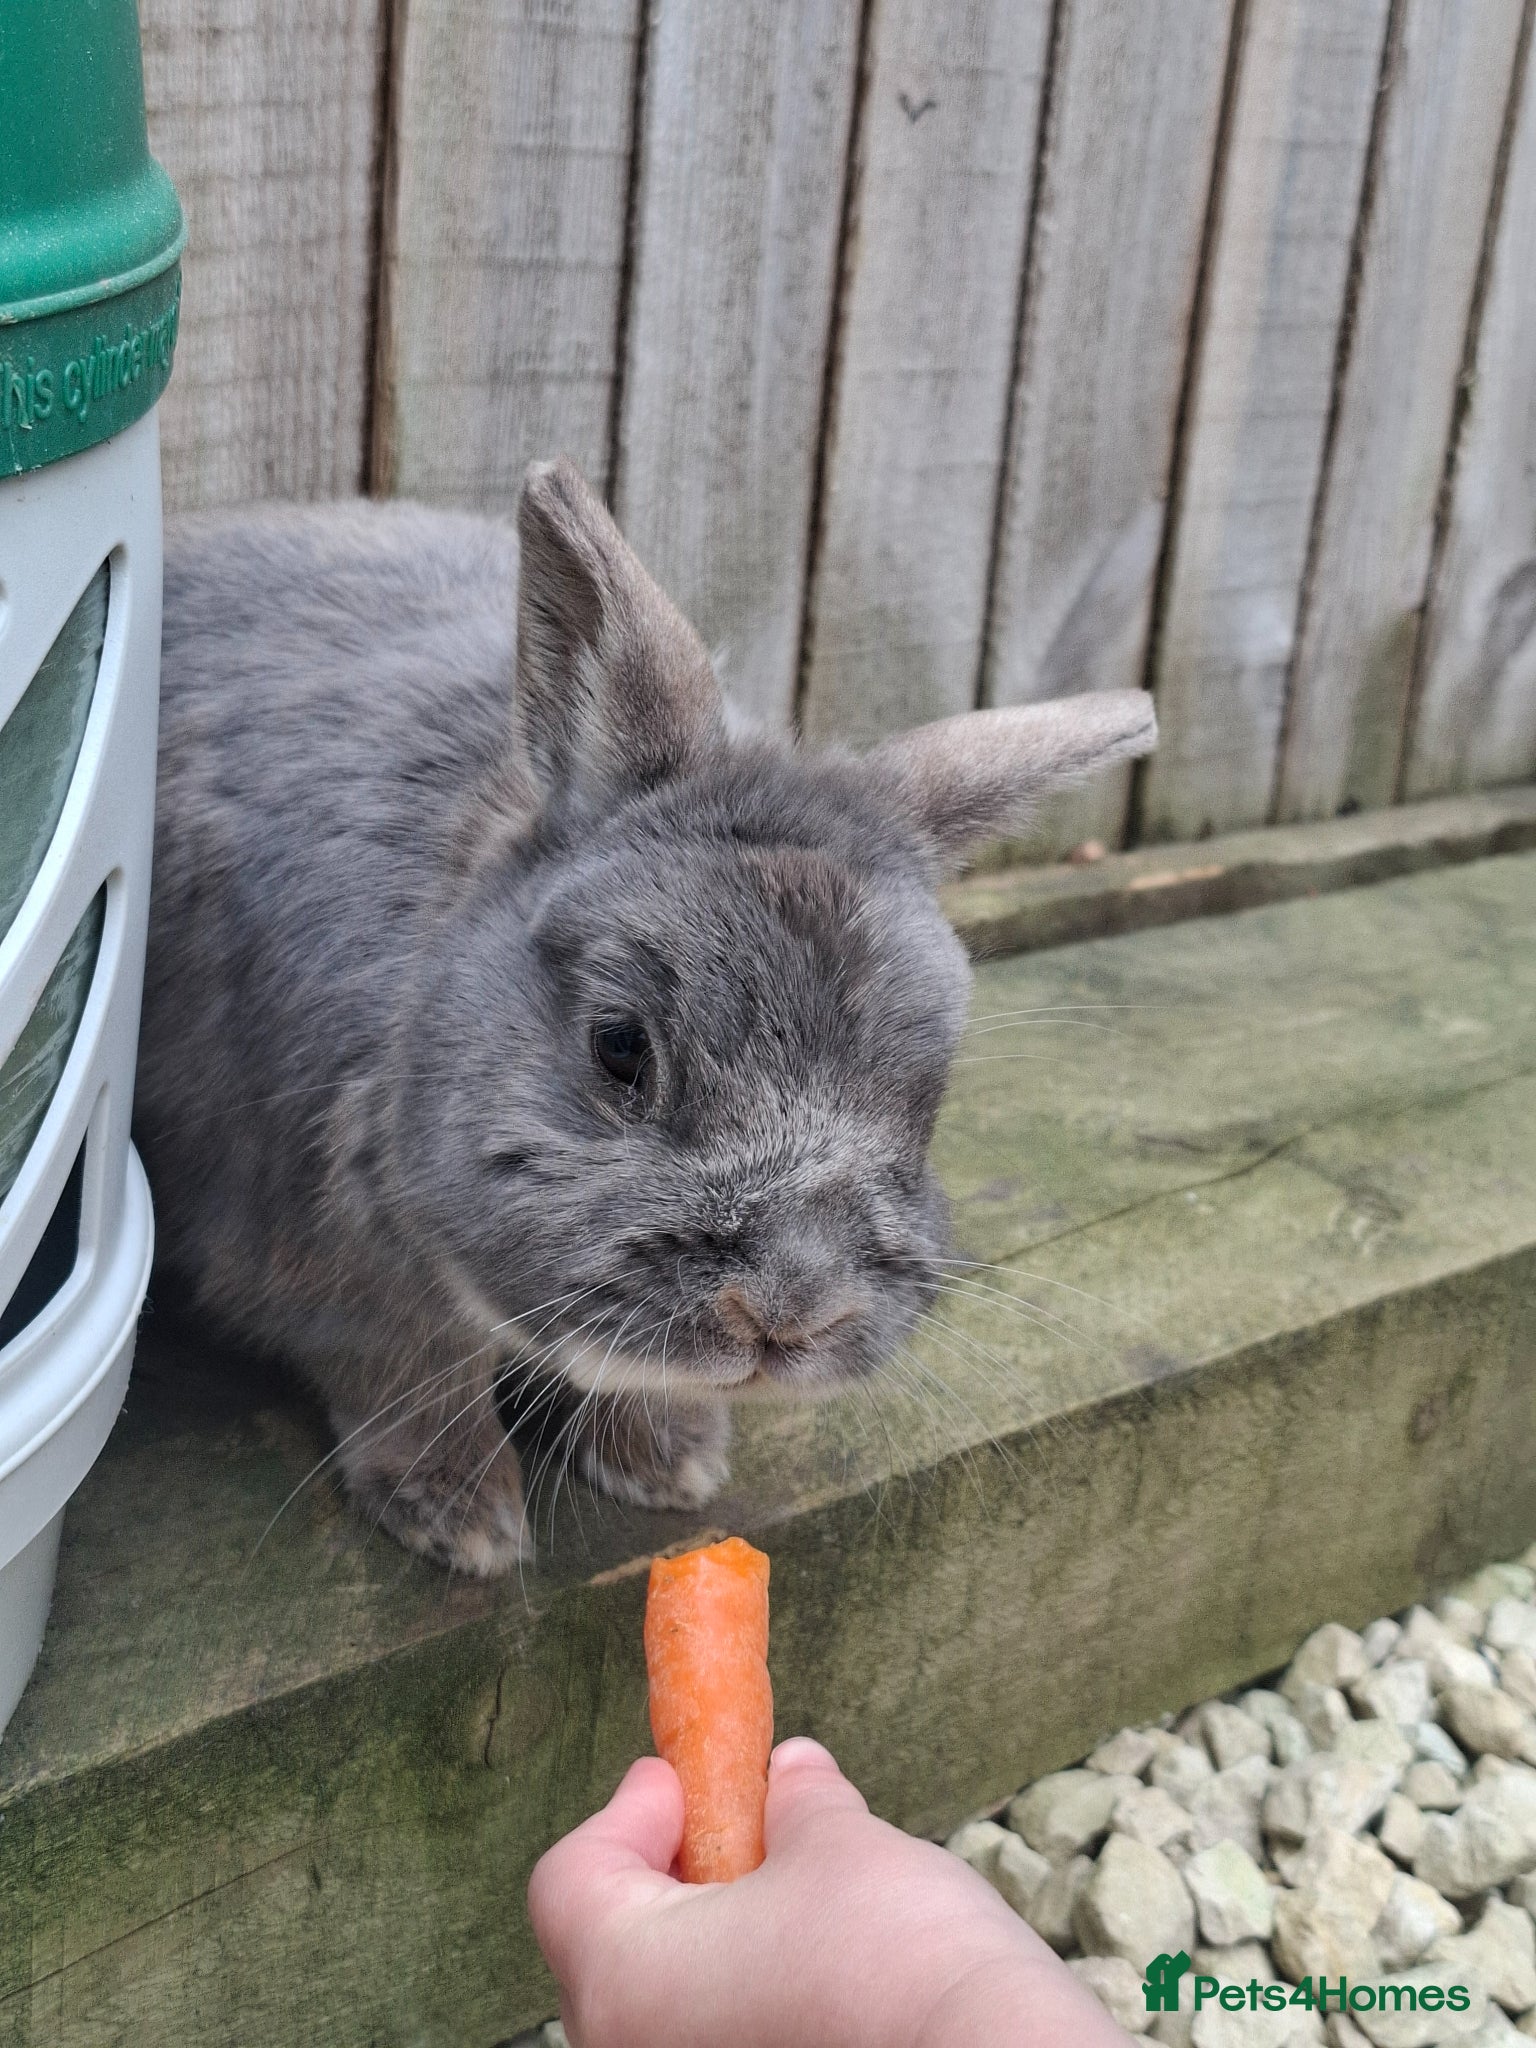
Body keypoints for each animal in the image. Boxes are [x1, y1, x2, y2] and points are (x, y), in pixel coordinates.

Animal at [135, 458, 1155, 1576]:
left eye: (929, 1096)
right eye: (619, 1048)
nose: (788, 1314)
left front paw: (670, 1462)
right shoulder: (324, 1256)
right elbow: (409, 1371)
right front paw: (466, 1519)